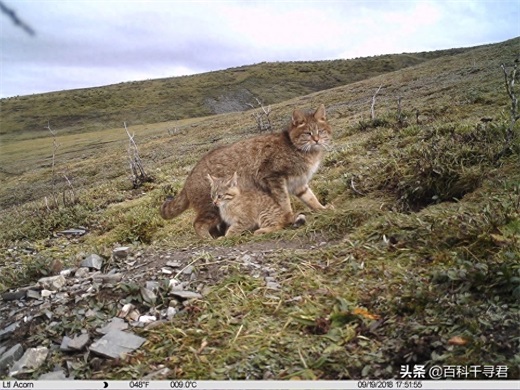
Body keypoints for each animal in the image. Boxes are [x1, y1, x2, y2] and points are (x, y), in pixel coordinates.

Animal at [160, 104, 334, 238]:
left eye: (320, 131)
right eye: (308, 133)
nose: (317, 140)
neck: (298, 149)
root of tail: (188, 178)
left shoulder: (299, 184)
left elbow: (311, 198)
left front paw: (322, 209)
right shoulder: (273, 177)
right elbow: (284, 203)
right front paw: (288, 218)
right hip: (212, 207)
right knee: (198, 224)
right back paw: (208, 238)